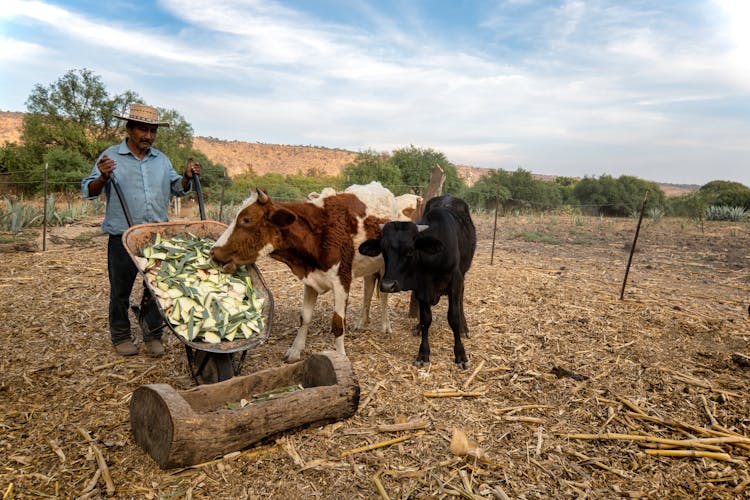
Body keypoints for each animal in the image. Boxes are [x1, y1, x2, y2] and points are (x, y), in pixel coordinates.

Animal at [209, 186, 390, 362]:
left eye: (246, 219)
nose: (213, 251)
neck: (319, 234)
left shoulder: (342, 280)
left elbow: (338, 323)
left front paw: (340, 357)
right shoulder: (311, 279)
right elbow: (305, 317)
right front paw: (295, 351)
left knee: (383, 293)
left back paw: (385, 326)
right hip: (369, 266)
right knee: (368, 290)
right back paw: (362, 322)